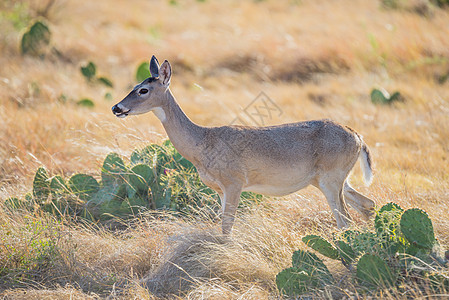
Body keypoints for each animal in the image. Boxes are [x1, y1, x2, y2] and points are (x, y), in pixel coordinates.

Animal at [111, 55, 374, 234]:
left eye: (143, 90)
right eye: (133, 86)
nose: (116, 107)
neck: (201, 143)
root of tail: (358, 137)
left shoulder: (234, 181)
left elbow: (227, 228)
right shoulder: (219, 189)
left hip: (331, 178)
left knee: (345, 220)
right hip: (332, 179)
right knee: (367, 204)